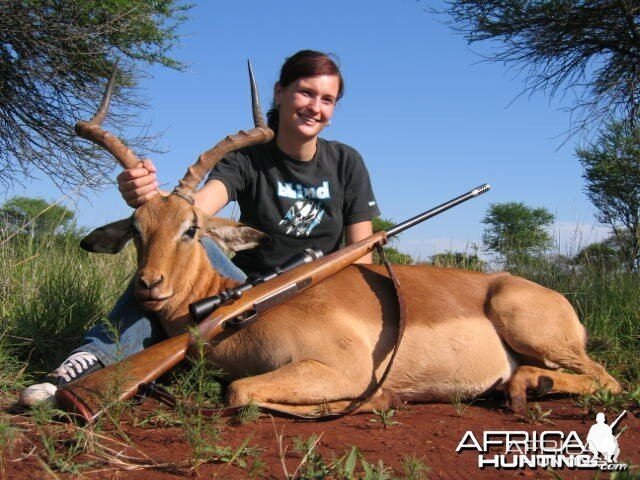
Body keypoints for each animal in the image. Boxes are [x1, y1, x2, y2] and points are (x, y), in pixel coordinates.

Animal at [76, 64, 620, 416]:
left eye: (191, 228)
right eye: (137, 230)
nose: (150, 285)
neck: (230, 308)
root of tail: (552, 294)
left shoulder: (342, 367)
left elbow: (239, 392)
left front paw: (381, 398)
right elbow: (239, 391)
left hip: (530, 327)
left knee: (608, 380)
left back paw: (527, 385)